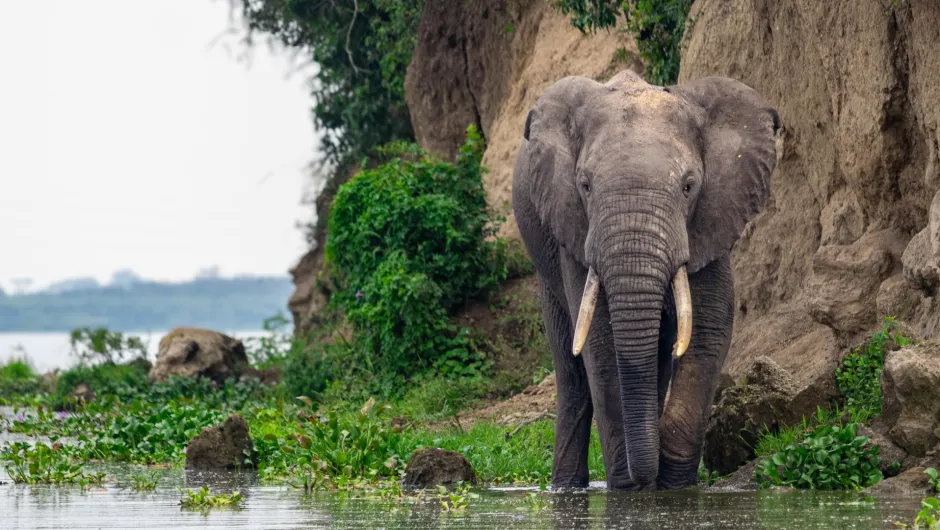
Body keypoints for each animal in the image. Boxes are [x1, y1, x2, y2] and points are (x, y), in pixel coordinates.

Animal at [512, 69, 780, 491]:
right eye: (584, 185)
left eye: (689, 186)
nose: (644, 477)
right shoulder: (574, 227)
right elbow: (601, 342)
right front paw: (631, 487)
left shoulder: (712, 217)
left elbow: (709, 328)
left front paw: (673, 485)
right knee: (572, 374)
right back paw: (567, 487)